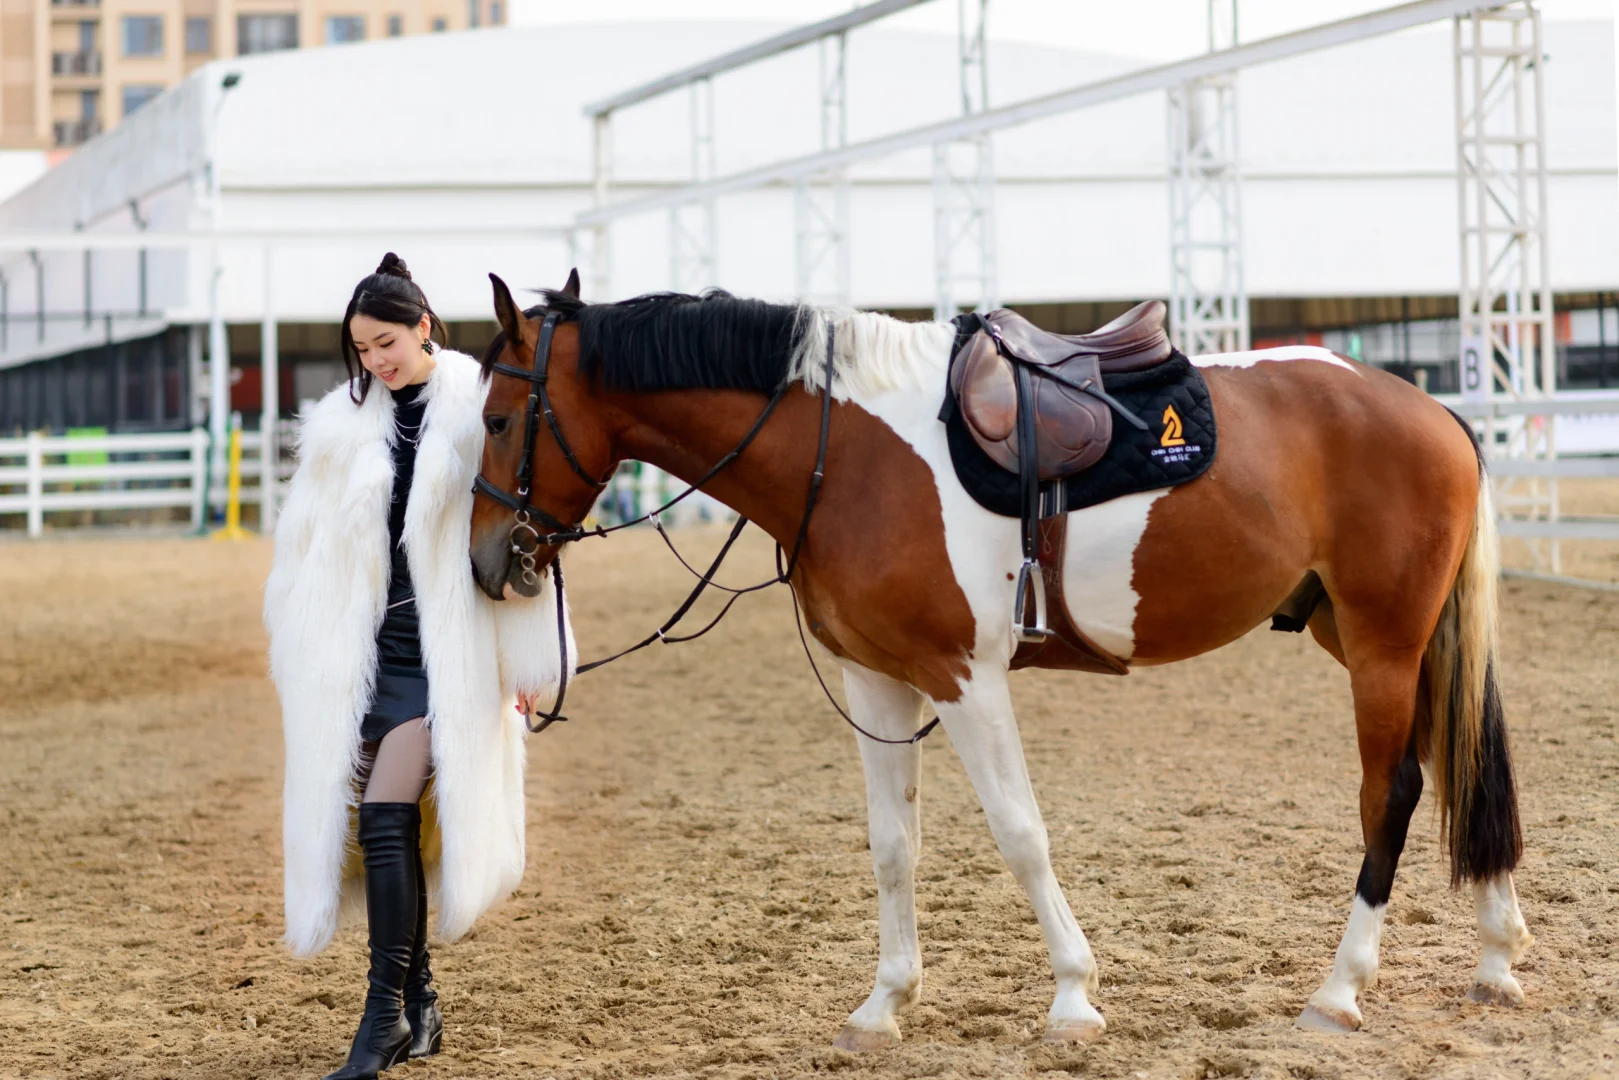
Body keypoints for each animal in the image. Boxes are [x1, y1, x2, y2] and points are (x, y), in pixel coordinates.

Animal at [469, 276, 1528, 1049]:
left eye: (494, 419)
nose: (490, 560)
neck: (845, 453)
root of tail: (1429, 410)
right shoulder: (876, 680)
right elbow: (892, 845)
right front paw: (884, 1005)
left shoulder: (962, 678)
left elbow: (1020, 834)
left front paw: (1071, 997)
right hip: (1362, 634)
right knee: (1457, 763)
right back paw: (1494, 958)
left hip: (1381, 641)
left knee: (1391, 792)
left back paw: (1340, 989)